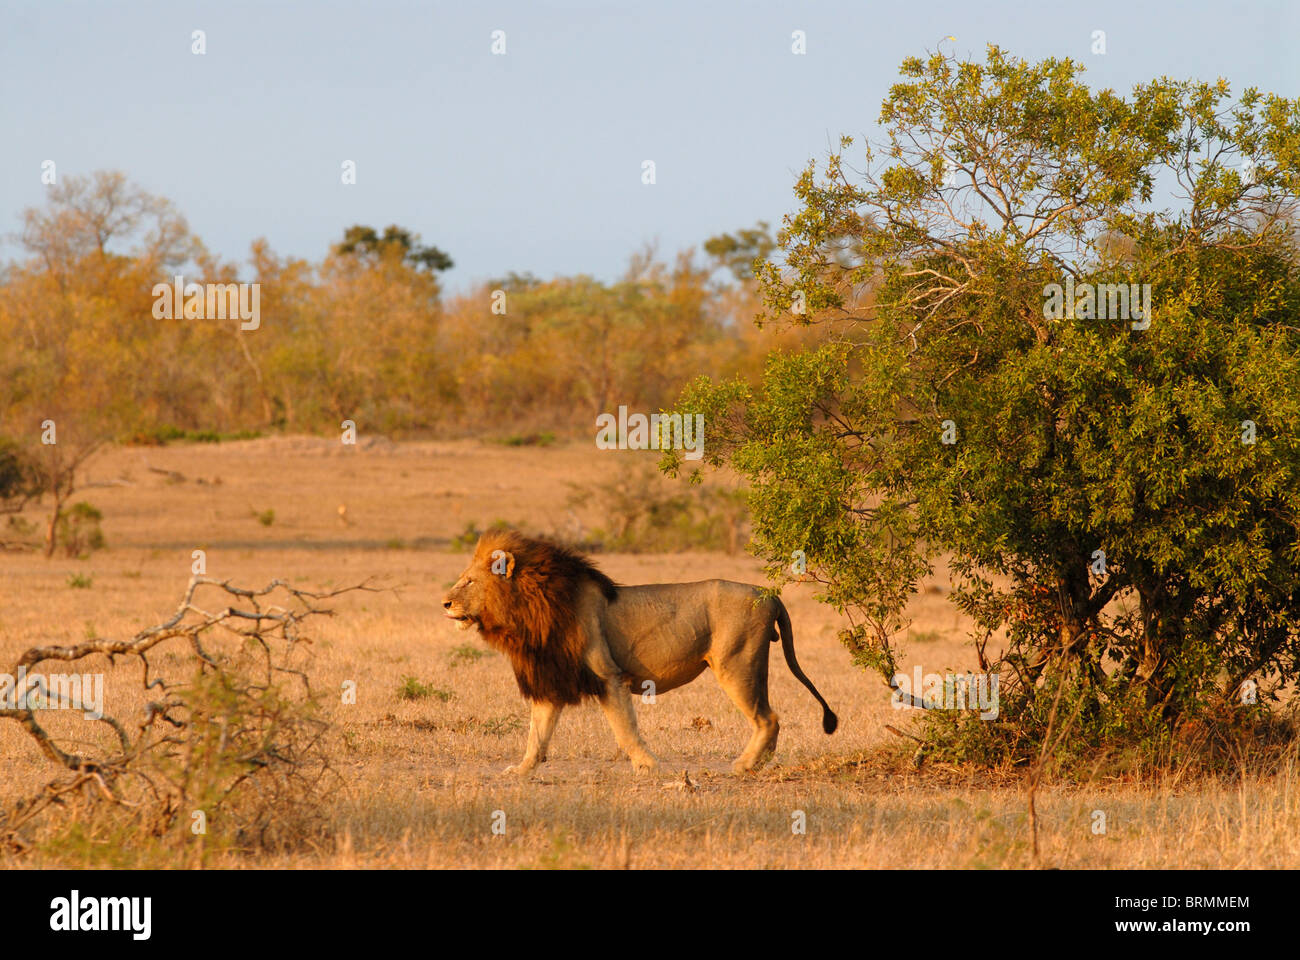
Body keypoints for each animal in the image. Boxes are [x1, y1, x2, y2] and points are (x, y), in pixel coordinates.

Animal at [441, 530, 837, 776]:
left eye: (469, 581)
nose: (444, 603)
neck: (529, 607)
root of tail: (769, 594)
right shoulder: (552, 679)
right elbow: (536, 736)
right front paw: (521, 770)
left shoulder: (608, 675)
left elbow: (625, 729)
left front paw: (648, 766)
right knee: (770, 718)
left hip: (737, 665)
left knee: (768, 718)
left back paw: (745, 765)